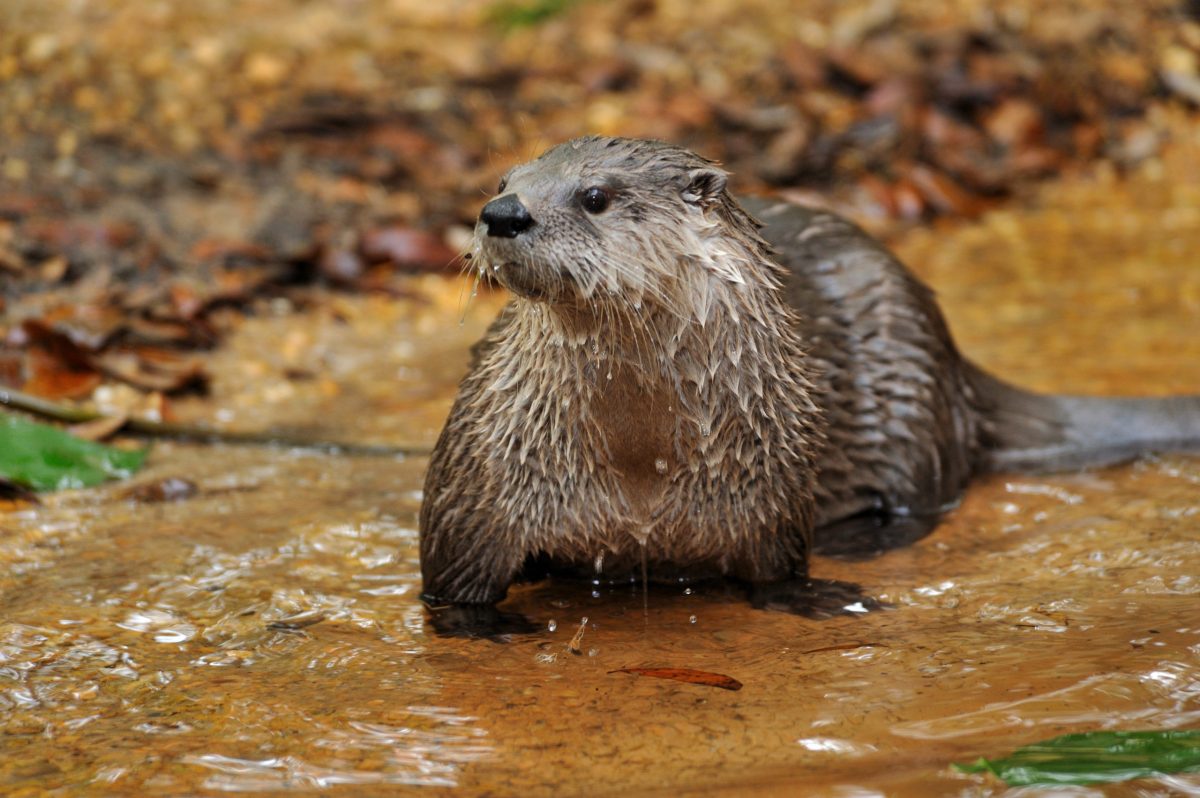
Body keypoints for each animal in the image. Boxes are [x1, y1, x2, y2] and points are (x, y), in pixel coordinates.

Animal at [419, 136, 1200, 630]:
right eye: (503, 182)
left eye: (595, 196)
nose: (502, 214)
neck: (640, 462)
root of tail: (952, 357)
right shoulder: (478, 488)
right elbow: (453, 594)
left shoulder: (773, 493)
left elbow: (777, 576)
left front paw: (818, 598)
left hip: (909, 397)